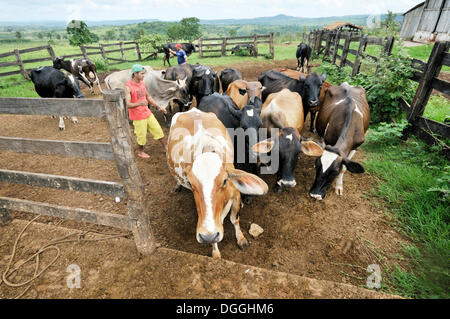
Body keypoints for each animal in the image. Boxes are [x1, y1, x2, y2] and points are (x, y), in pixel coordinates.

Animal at [167, 109, 268, 258]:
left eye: (225, 180)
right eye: (191, 184)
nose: (207, 236)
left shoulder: (236, 194)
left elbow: (234, 219)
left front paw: (241, 239)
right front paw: (215, 252)